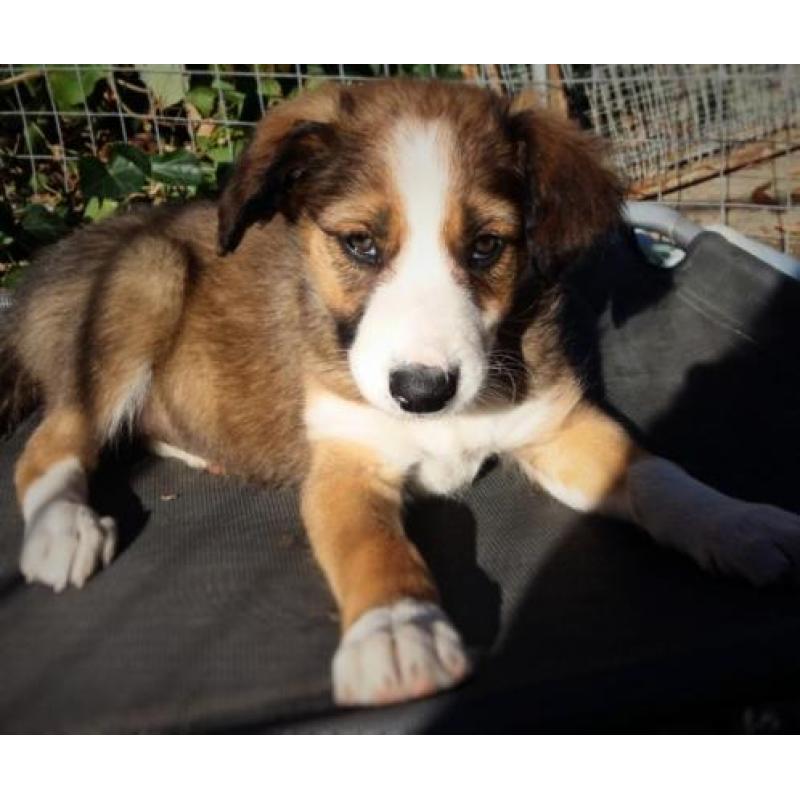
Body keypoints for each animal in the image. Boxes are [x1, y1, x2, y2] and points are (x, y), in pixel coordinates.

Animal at [1, 81, 800, 708]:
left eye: (487, 246)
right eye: (359, 245)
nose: (422, 392)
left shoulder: (556, 423)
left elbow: (654, 474)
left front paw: (736, 522)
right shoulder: (345, 465)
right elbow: (373, 548)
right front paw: (396, 631)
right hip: (144, 281)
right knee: (51, 438)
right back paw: (62, 529)